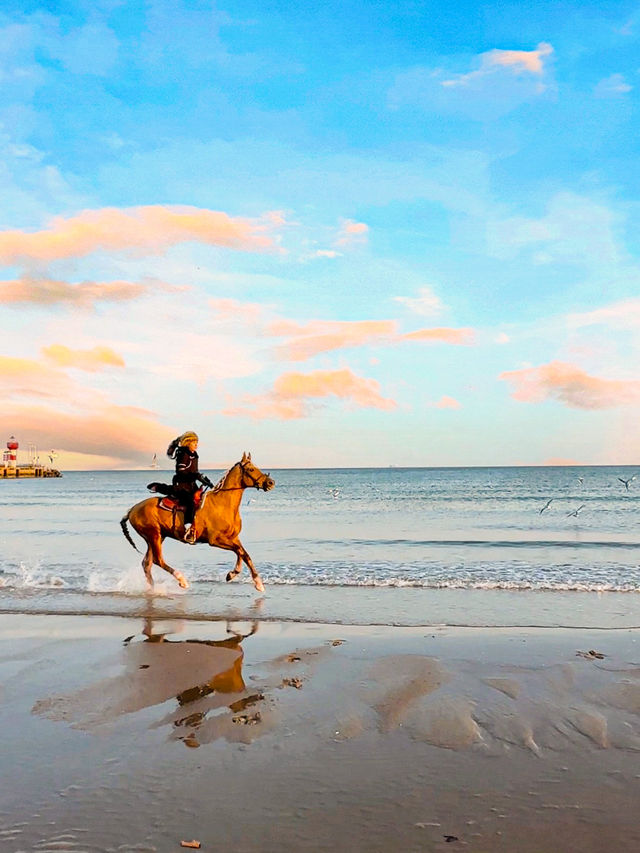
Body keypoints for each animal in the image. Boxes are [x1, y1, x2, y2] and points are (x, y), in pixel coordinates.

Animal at [120, 452, 276, 592]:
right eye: (251, 469)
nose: (270, 483)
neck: (223, 504)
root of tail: (132, 509)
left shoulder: (233, 537)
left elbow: (243, 554)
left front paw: (234, 575)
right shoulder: (216, 540)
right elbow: (241, 552)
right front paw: (257, 582)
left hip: (157, 537)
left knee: (147, 563)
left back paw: (152, 588)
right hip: (154, 536)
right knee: (158, 560)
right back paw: (182, 580)